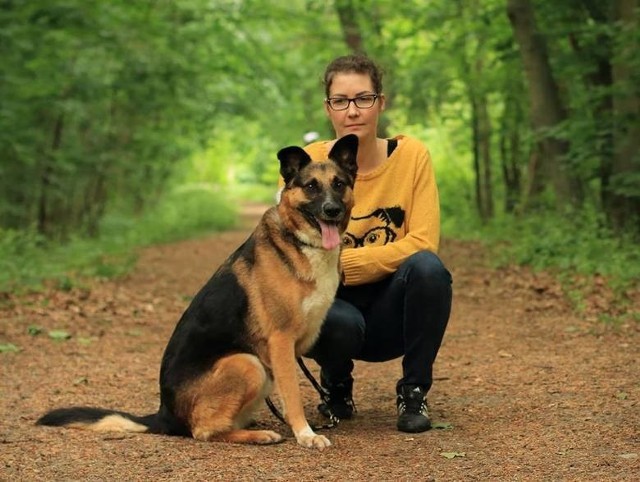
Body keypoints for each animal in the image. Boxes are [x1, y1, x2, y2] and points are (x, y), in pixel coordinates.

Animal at [37, 134, 358, 450]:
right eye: (311, 186)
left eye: (339, 184)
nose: (332, 210)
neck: (300, 241)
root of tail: (164, 415)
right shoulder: (281, 342)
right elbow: (292, 396)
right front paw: (306, 434)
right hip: (248, 364)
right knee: (203, 431)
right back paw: (257, 435)